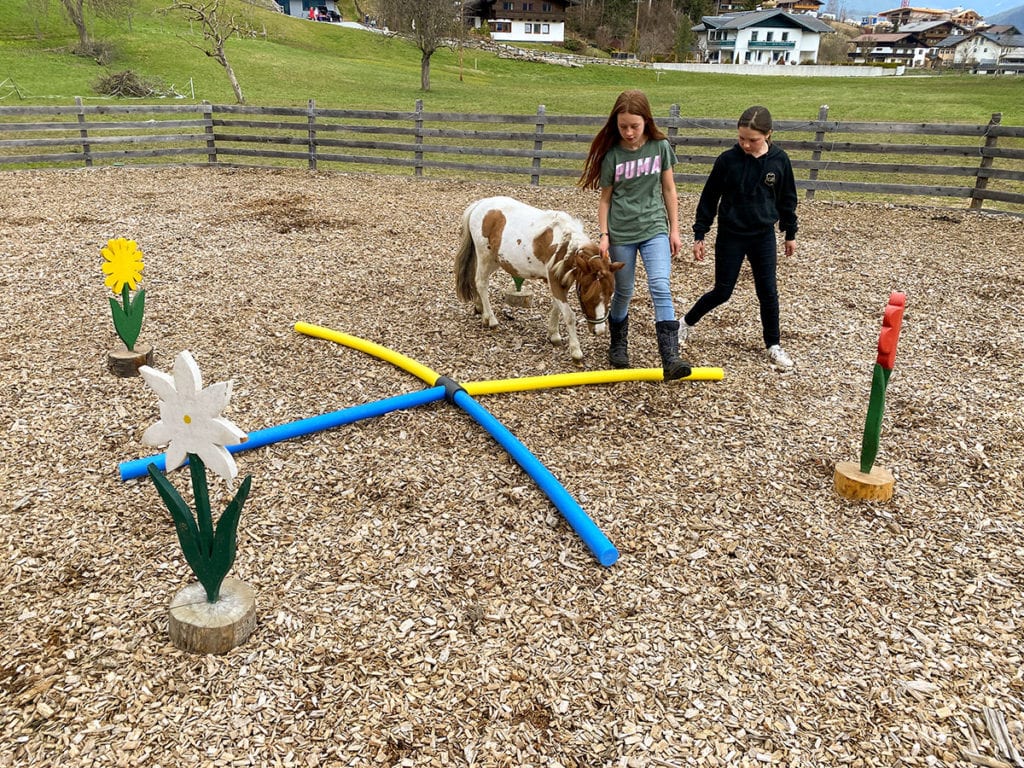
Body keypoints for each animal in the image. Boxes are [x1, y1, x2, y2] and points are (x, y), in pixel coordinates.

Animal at [458, 196, 622, 362]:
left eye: (610, 294)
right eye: (588, 296)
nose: (599, 330)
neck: (564, 247)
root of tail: (480, 204)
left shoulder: (564, 281)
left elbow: (557, 307)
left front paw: (554, 335)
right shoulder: (554, 281)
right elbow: (569, 315)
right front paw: (575, 350)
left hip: (495, 260)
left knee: (477, 280)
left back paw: (481, 309)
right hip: (485, 256)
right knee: (481, 283)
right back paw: (491, 319)